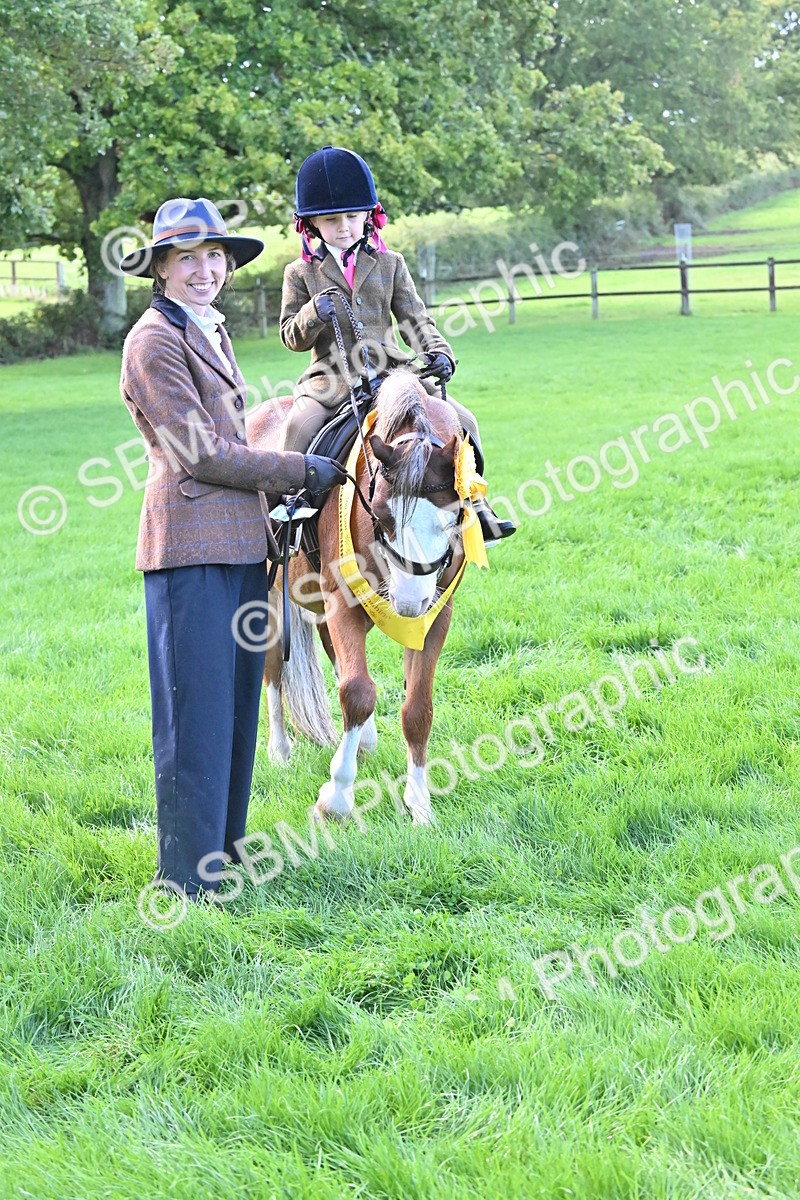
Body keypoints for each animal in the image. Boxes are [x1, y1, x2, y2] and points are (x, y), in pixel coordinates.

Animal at [246, 368, 472, 826]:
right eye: (382, 514)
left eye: (452, 518)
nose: (408, 603)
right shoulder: (342, 603)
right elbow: (357, 693)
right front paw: (336, 798)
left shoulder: (436, 615)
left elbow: (417, 708)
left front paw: (419, 803)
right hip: (274, 596)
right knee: (275, 671)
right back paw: (280, 750)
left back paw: (363, 742)